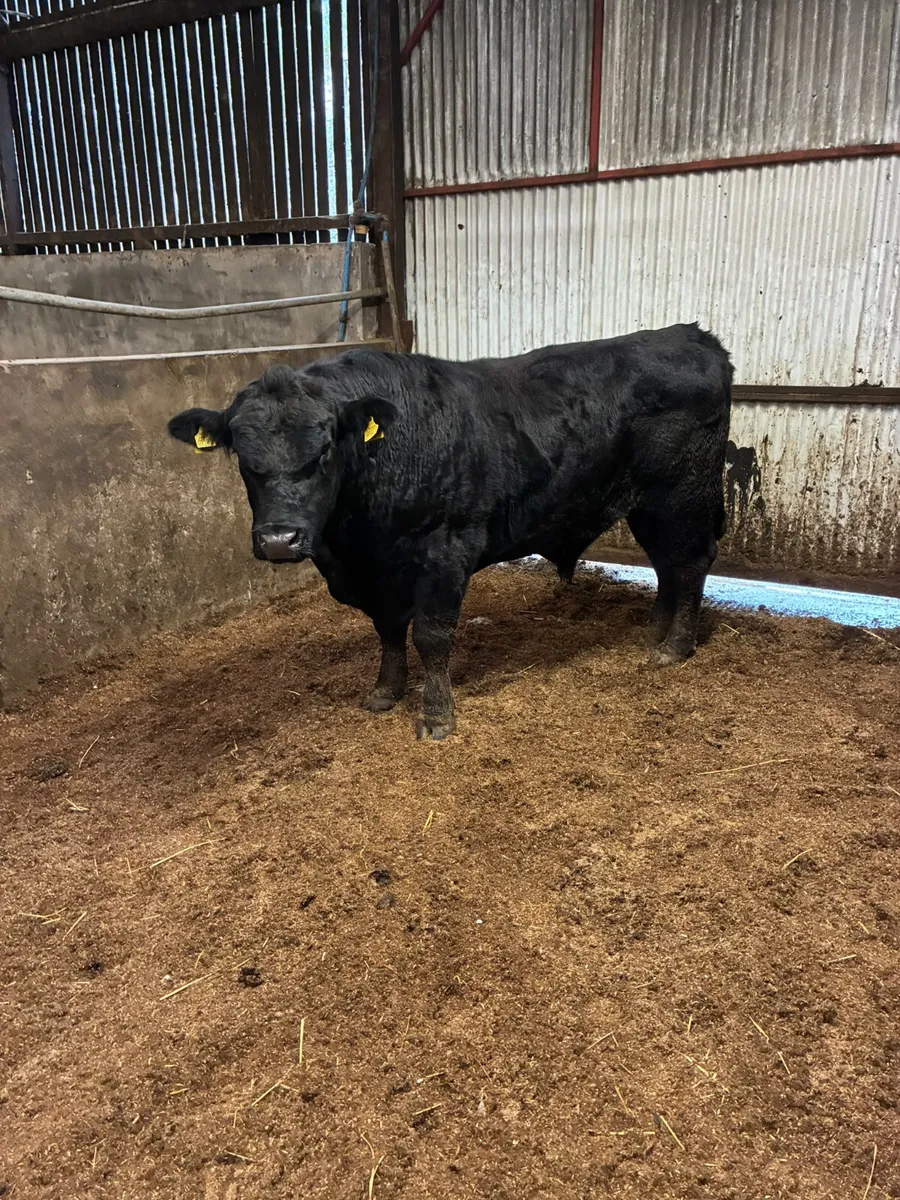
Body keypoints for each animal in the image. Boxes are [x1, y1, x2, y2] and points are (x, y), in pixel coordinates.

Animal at [168, 323, 732, 739]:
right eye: (243, 457)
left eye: (325, 449)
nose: (279, 540)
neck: (354, 545)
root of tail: (692, 336)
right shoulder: (377, 575)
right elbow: (388, 631)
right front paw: (385, 691)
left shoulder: (444, 553)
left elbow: (431, 636)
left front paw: (436, 716)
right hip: (648, 506)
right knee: (667, 566)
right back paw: (652, 634)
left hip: (684, 496)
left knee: (690, 562)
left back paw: (675, 647)